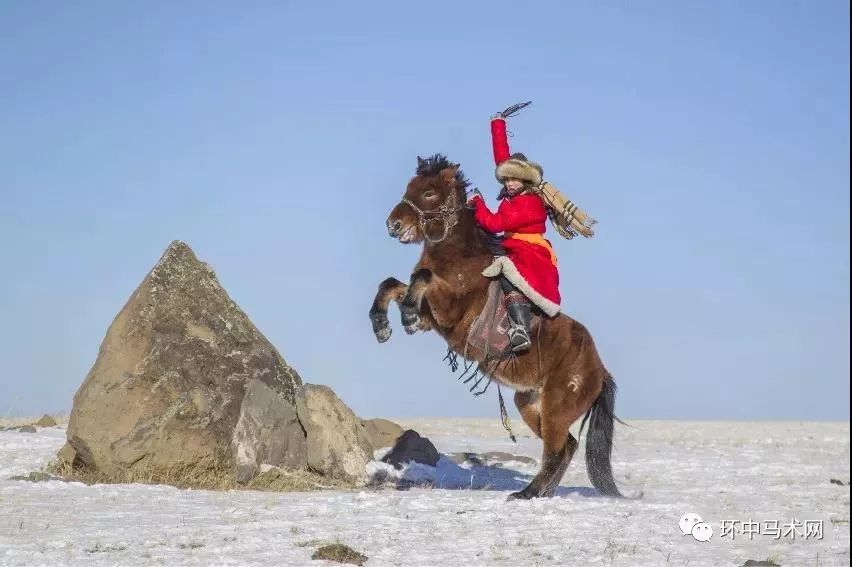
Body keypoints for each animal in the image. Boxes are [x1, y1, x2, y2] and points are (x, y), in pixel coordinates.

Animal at [370, 155, 624, 502]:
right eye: (410, 186)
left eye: (430, 192)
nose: (393, 225)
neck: (461, 259)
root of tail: (599, 370)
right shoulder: (430, 317)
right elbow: (392, 284)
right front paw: (382, 324)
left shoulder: (449, 310)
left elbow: (421, 278)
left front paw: (404, 315)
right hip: (529, 403)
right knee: (567, 446)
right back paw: (537, 492)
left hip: (557, 408)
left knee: (556, 449)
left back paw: (526, 494)